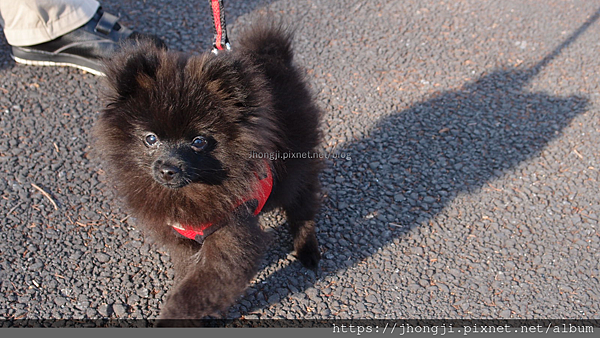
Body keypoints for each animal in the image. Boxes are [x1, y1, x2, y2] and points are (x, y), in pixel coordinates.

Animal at [95, 24, 324, 320]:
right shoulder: (182, 240)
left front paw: (172, 319)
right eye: (150, 139)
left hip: (295, 170)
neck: (191, 191)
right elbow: (188, 274)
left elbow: (196, 292)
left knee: (302, 206)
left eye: (198, 141)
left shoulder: (230, 237)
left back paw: (307, 249)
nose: (168, 168)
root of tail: (276, 58)